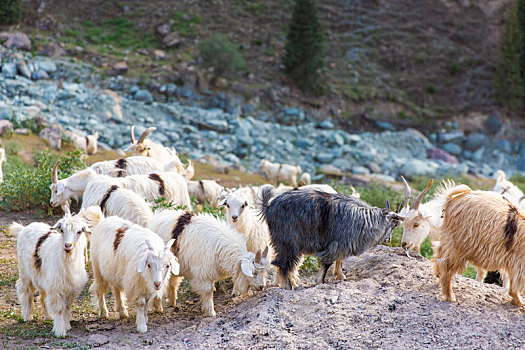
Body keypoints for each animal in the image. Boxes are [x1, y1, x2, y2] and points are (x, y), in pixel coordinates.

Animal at [11, 208, 91, 336]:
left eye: (79, 232)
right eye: (62, 230)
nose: (67, 245)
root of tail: (24, 228)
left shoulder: (71, 289)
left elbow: (67, 307)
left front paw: (67, 326)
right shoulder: (56, 288)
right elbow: (59, 309)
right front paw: (60, 331)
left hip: (42, 277)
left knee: (42, 297)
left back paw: (48, 316)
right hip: (24, 272)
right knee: (25, 290)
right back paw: (27, 316)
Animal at [258, 186, 402, 290]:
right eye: (395, 224)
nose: (388, 240)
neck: (366, 218)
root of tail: (268, 207)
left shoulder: (343, 243)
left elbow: (340, 259)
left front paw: (341, 276)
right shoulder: (336, 243)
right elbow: (328, 262)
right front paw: (320, 281)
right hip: (288, 242)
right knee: (283, 263)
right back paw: (289, 286)